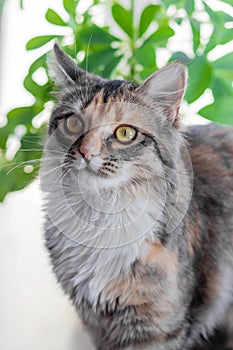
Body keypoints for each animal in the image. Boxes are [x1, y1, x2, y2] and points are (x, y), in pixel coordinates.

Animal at [41, 44, 233, 350]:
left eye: (125, 133)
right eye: (73, 123)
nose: (86, 152)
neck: (101, 218)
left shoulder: (156, 327)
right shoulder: (96, 324)